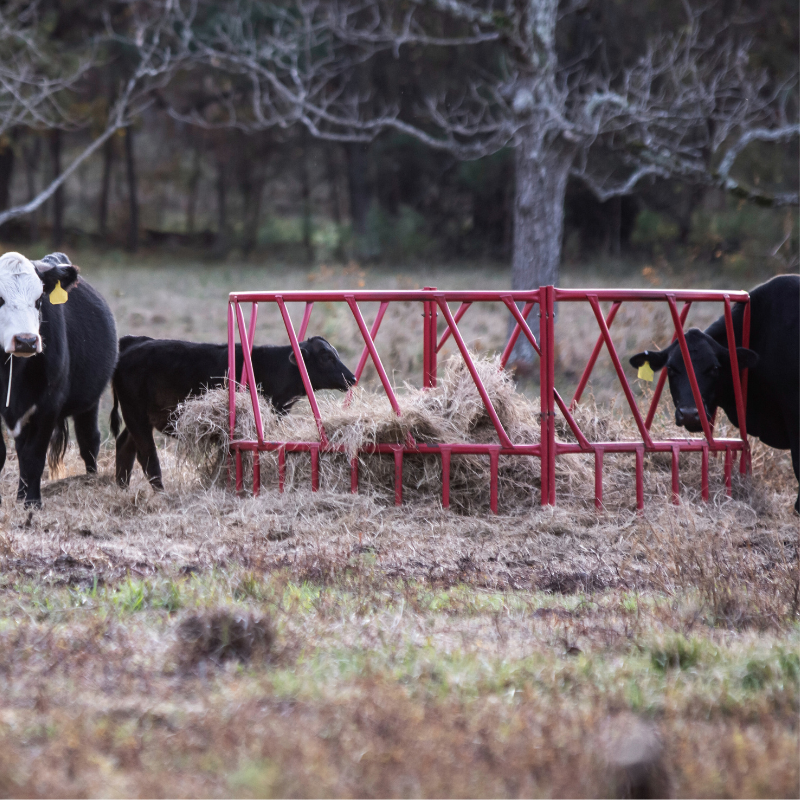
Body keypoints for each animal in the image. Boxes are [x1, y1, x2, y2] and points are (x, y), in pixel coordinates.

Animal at [0, 252, 118, 506]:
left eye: (39, 301)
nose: (26, 341)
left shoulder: (49, 404)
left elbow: (34, 455)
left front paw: (32, 503)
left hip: (90, 403)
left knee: (89, 440)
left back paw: (90, 480)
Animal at [109, 332, 356, 488]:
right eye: (326, 357)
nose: (352, 378)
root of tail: (133, 342)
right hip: (136, 415)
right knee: (148, 457)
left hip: (140, 419)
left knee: (125, 447)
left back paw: (122, 488)